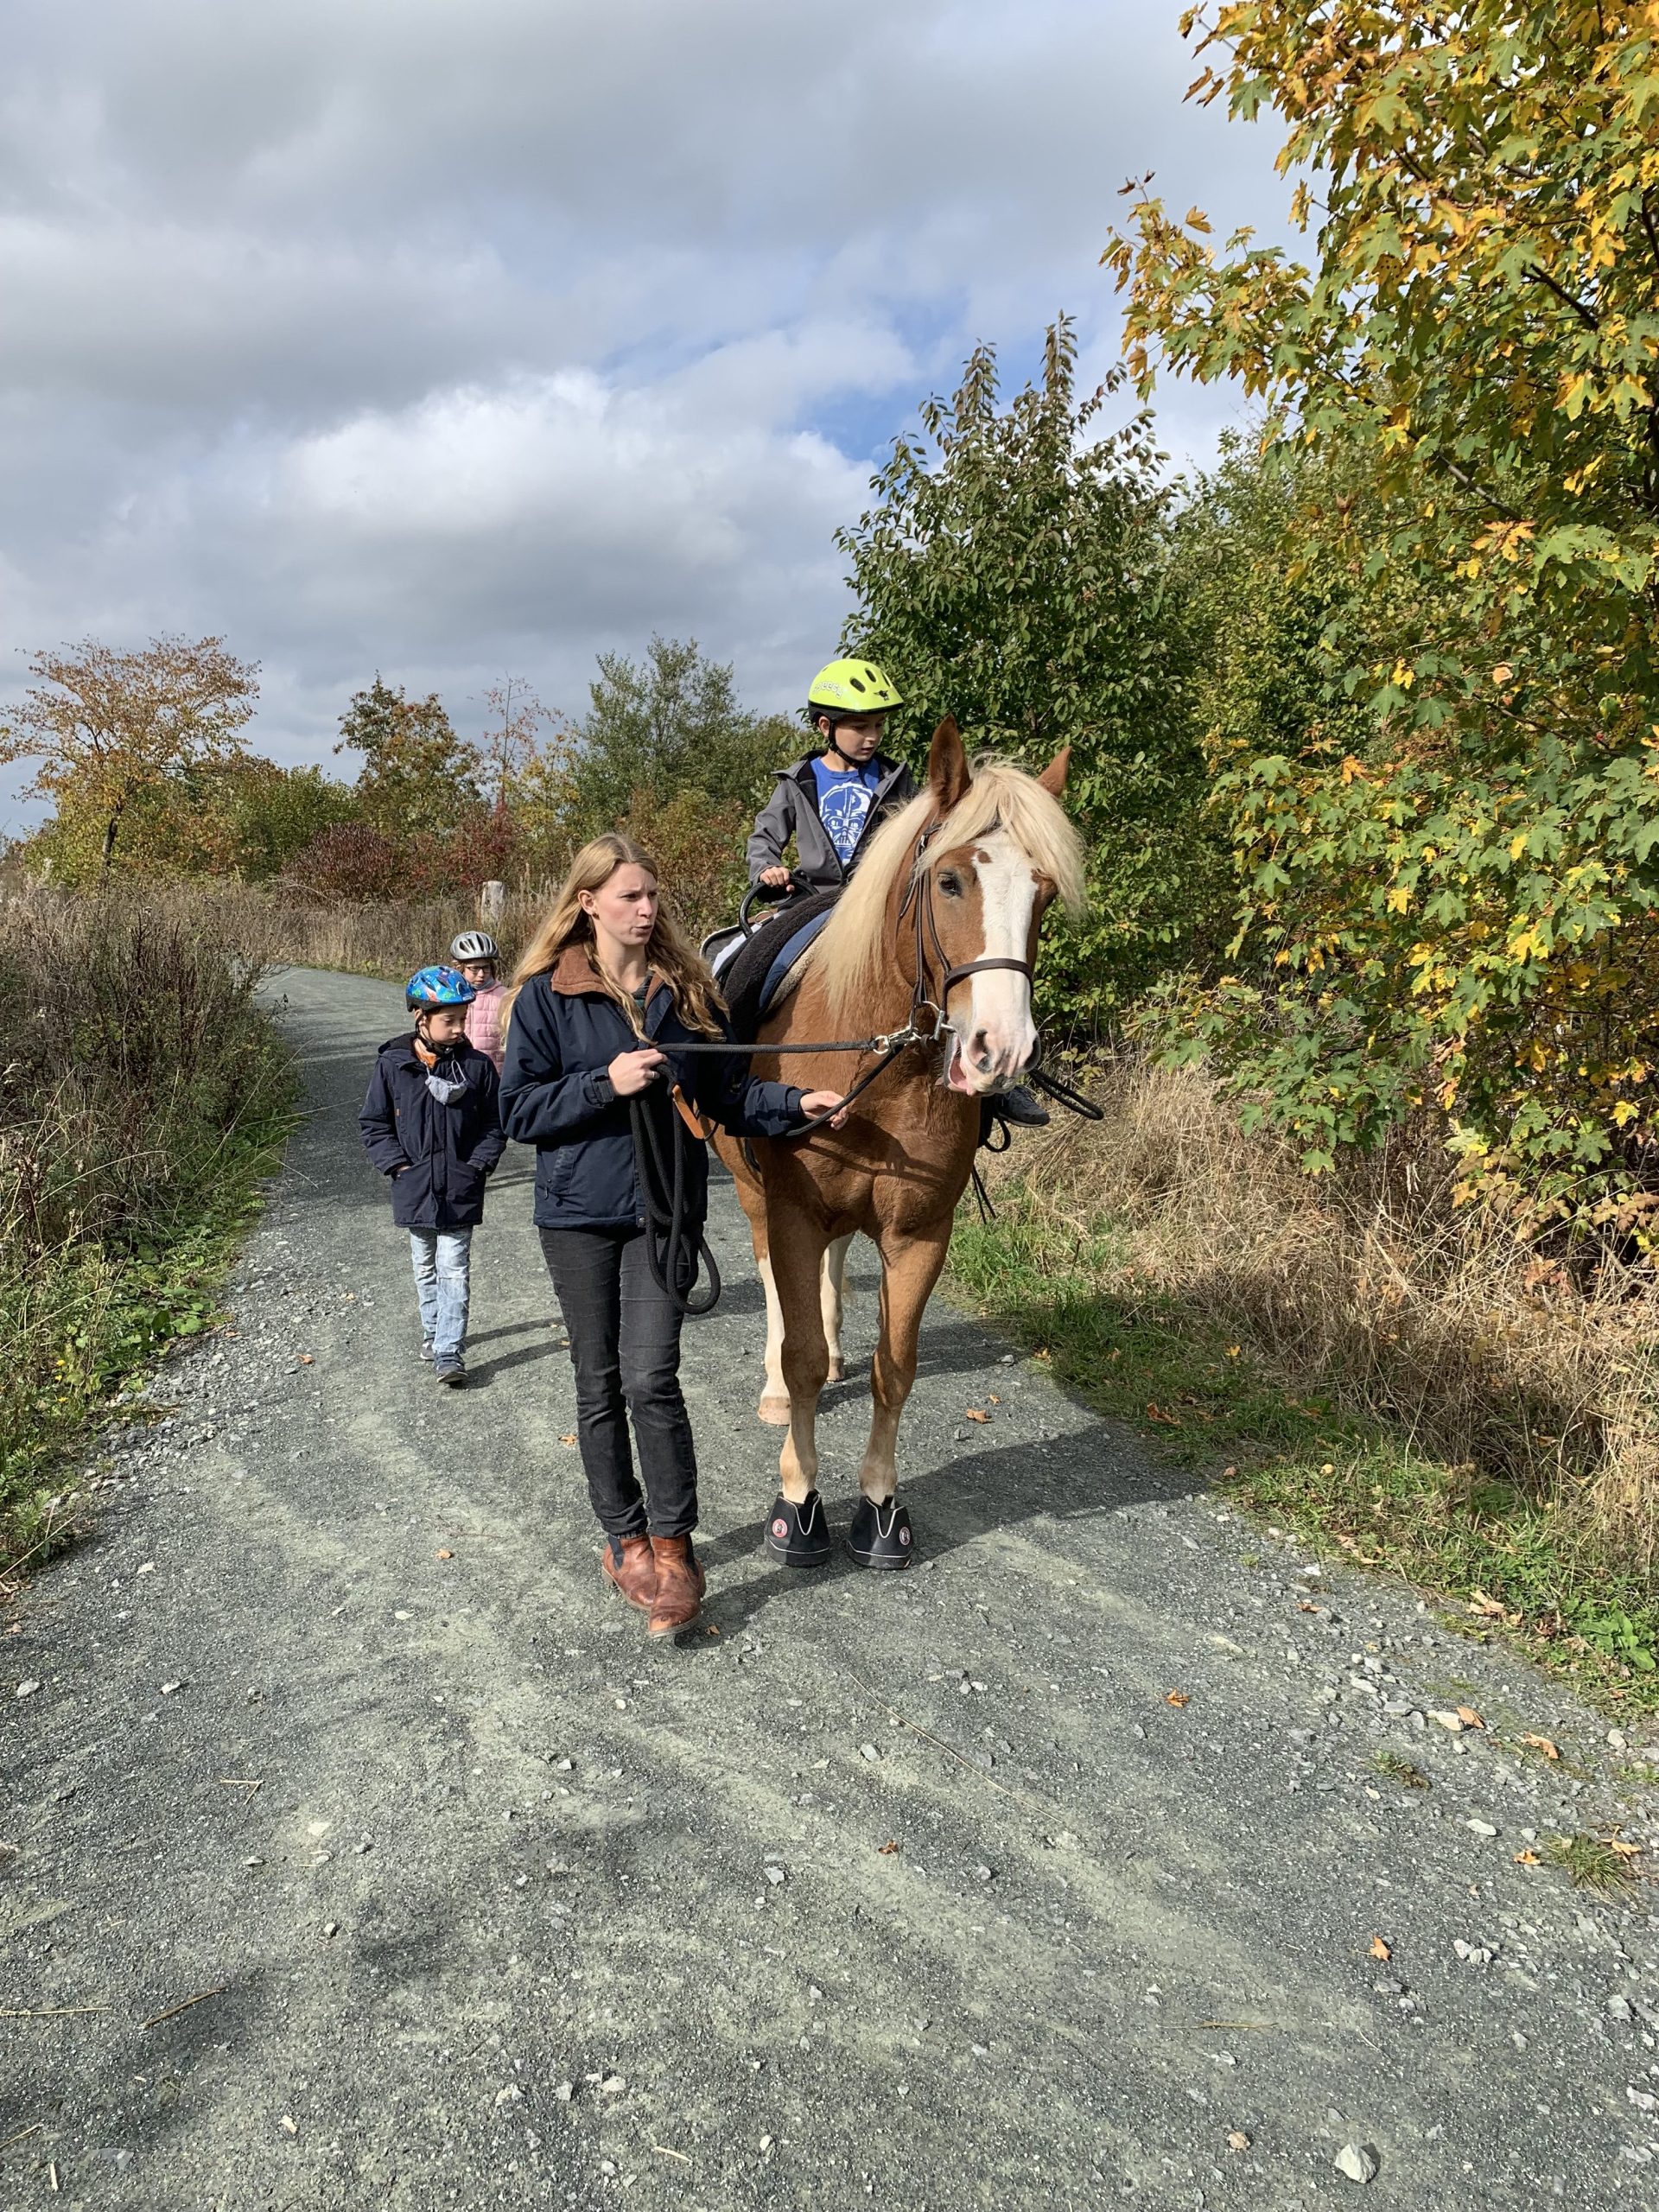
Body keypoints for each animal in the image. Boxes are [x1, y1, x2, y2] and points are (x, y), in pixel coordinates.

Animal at [716, 716, 1092, 1566]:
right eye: (949, 883)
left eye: (1044, 893)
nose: (1001, 1048)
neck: (877, 1056)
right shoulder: (791, 1212)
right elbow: (799, 1355)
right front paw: (798, 1498)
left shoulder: (919, 1232)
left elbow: (896, 1369)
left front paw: (881, 1506)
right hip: (755, 1197)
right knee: (773, 1293)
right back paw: (774, 1388)